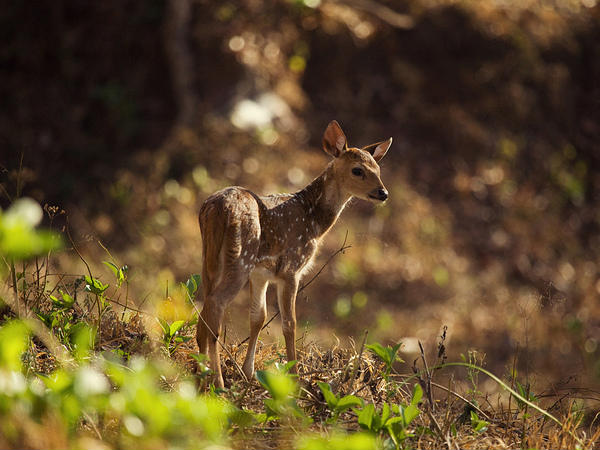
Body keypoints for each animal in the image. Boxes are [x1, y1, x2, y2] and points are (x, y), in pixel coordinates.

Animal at [197, 119, 394, 386]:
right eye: (357, 170)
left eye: (378, 169)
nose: (383, 193)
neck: (314, 221)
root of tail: (216, 208)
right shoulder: (291, 267)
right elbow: (290, 323)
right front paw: (295, 377)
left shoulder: (260, 273)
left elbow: (258, 317)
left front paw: (248, 373)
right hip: (240, 258)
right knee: (216, 304)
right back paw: (218, 382)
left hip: (210, 258)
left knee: (205, 305)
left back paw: (200, 372)